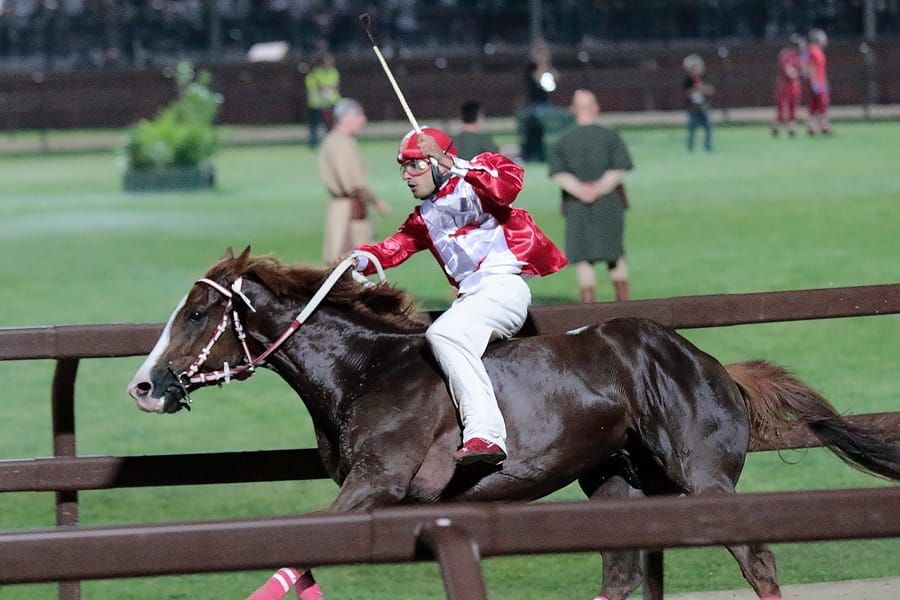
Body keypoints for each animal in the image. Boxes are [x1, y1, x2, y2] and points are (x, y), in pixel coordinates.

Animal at [126, 248, 900, 600]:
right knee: (623, 572)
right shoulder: (376, 497)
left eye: (198, 312)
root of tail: (713, 365)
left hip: (703, 480)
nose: (143, 386)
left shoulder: (377, 486)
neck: (364, 370)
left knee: (758, 560)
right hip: (617, 482)